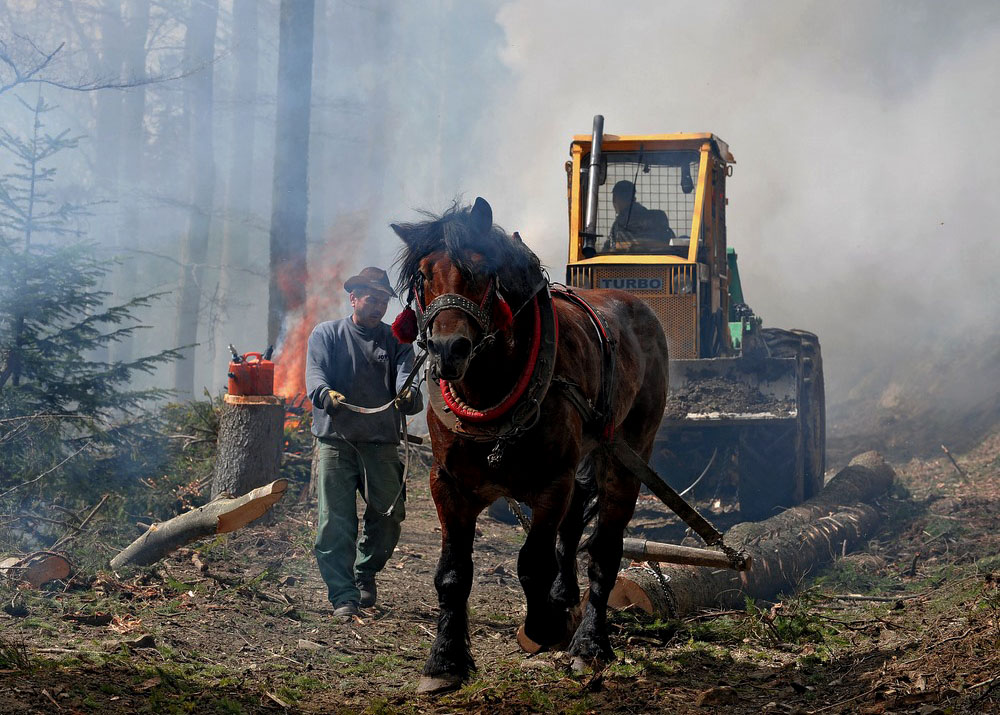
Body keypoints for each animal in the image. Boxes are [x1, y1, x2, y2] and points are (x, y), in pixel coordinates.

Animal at [394, 197, 668, 692]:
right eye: (424, 276)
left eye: (480, 272)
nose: (448, 349)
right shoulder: (447, 484)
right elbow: (453, 574)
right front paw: (445, 660)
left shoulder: (551, 484)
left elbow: (532, 562)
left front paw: (546, 625)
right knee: (575, 525)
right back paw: (565, 598)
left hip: (630, 451)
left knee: (604, 549)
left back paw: (589, 643)